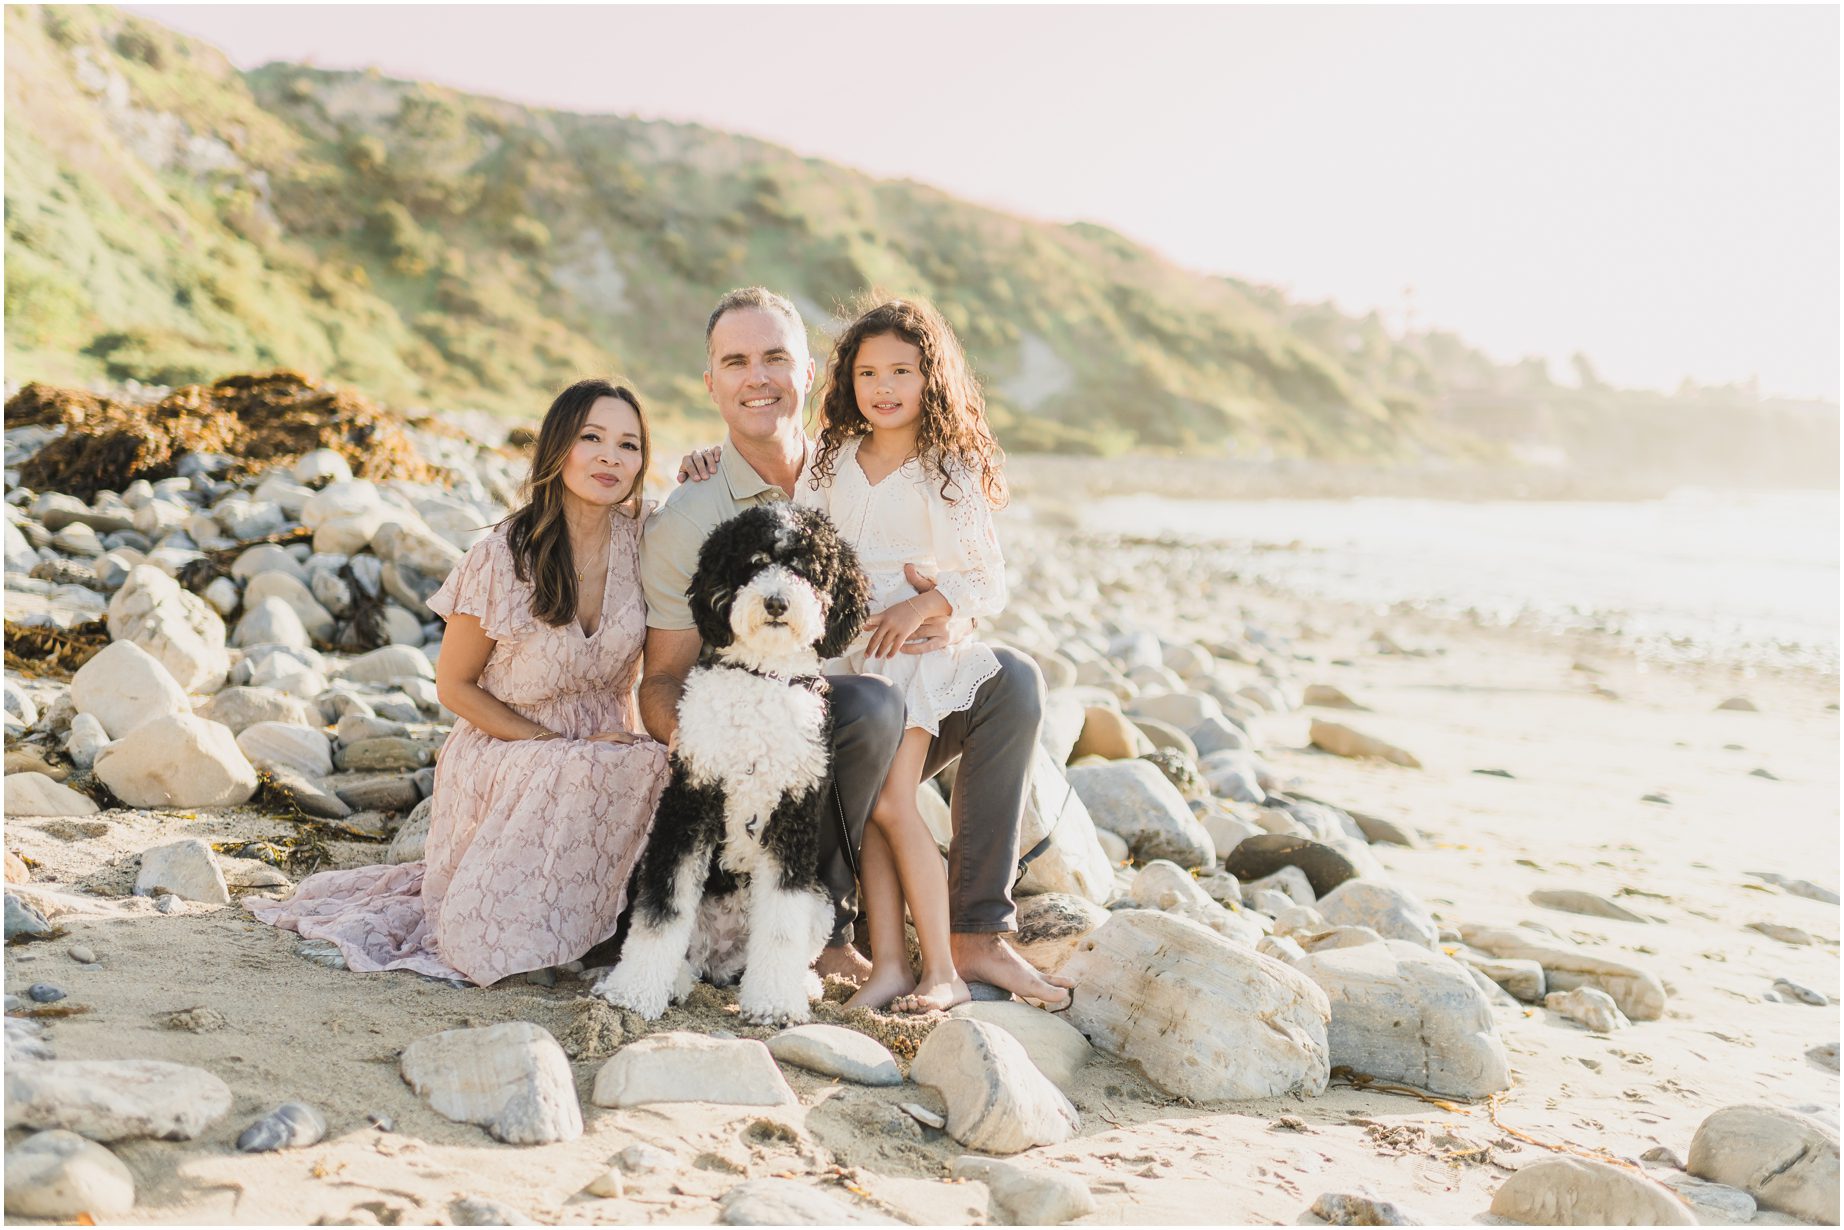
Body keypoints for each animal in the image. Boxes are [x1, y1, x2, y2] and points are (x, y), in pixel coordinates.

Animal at [593, 505, 874, 1025]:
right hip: (646, 872)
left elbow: (781, 925)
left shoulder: (793, 817)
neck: (762, 675)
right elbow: (663, 909)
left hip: (820, 898)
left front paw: (775, 1004)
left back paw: (798, 984)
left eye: (806, 569)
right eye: (754, 563)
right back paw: (675, 981)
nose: (777, 602)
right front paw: (634, 992)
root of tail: (718, 960)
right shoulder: (689, 804)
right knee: (677, 939)